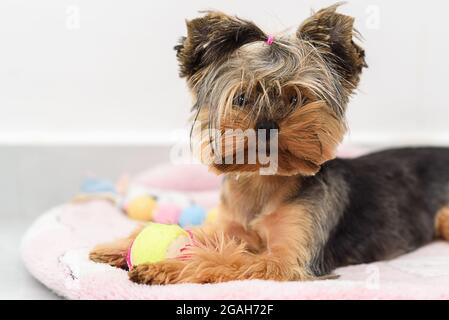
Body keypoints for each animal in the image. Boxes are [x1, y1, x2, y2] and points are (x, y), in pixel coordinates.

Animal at [89, 5, 448, 284]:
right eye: (241, 98)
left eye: (297, 98)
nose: (266, 126)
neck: (263, 183)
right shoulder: (232, 227)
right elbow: (205, 233)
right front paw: (117, 246)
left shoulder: (285, 261)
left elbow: (226, 259)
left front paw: (166, 266)